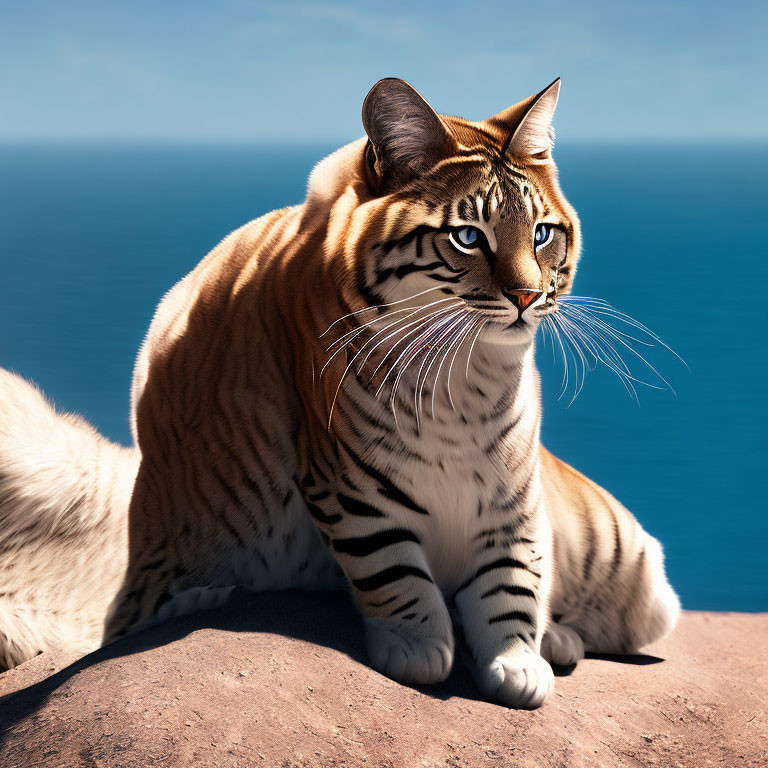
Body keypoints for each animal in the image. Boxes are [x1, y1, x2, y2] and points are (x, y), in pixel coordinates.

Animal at [0, 78, 680, 708]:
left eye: (541, 234)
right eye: (467, 237)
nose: (526, 295)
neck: (468, 373)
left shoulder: (513, 491)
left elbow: (513, 575)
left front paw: (517, 660)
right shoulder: (349, 480)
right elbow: (392, 567)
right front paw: (419, 644)